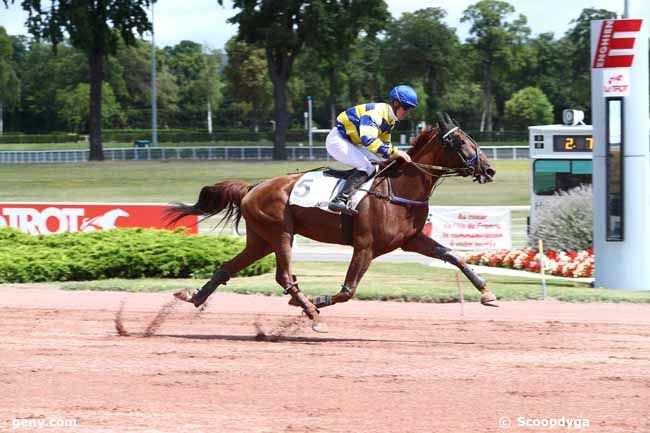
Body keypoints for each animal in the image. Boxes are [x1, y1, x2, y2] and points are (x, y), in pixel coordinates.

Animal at [166, 111, 496, 330]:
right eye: (461, 142)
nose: (489, 169)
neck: (399, 190)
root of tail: (253, 187)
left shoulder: (411, 239)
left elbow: (455, 257)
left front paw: (487, 294)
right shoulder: (365, 246)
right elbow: (347, 291)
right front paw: (316, 302)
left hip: (260, 239)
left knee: (228, 267)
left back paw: (193, 297)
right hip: (280, 233)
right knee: (284, 277)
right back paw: (311, 312)